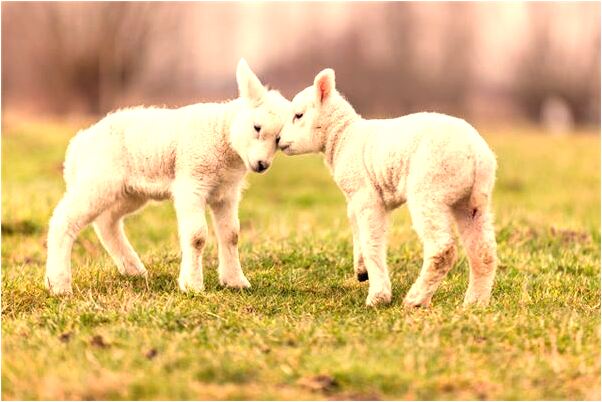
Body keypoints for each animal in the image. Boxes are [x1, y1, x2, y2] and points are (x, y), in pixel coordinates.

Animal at [44, 59, 288, 296]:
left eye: (278, 140)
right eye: (257, 127)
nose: (261, 165)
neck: (223, 135)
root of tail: (78, 144)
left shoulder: (226, 193)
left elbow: (232, 235)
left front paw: (235, 282)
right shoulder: (192, 182)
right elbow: (197, 236)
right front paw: (192, 285)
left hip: (129, 191)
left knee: (107, 222)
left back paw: (133, 269)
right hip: (98, 180)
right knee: (64, 219)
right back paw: (58, 285)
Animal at [276, 69, 496, 308]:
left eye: (298, 115)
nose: (277, 139)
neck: (343, 137)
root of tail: (477, 154)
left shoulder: (366, 196)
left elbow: (372, 241)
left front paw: (378, 296)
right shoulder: (354, 198)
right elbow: (356, 228)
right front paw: (361, 270)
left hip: (430, 188)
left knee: (442, 249)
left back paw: (416, 299)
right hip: (470, 201)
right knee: (484, 252)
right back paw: (475, 302)